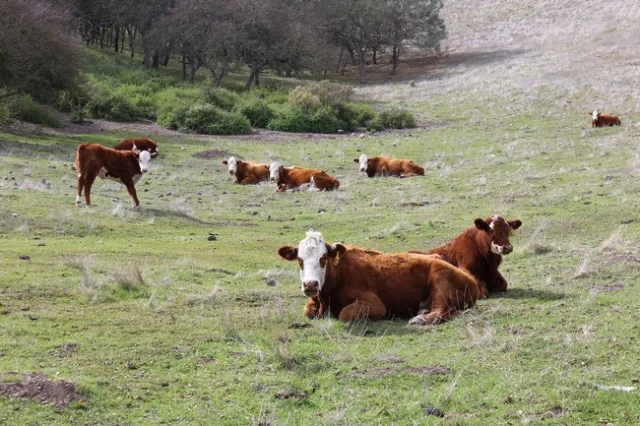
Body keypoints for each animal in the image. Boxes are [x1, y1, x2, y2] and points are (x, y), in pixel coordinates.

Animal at [277, 230, 482, 325]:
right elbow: (307, 310)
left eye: (324, 257)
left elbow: (344, 314)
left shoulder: (375, 305)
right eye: (300, 260)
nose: (310, 284)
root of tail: (470, 278)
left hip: (441, 279)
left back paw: (419, 319)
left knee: (439, 311)